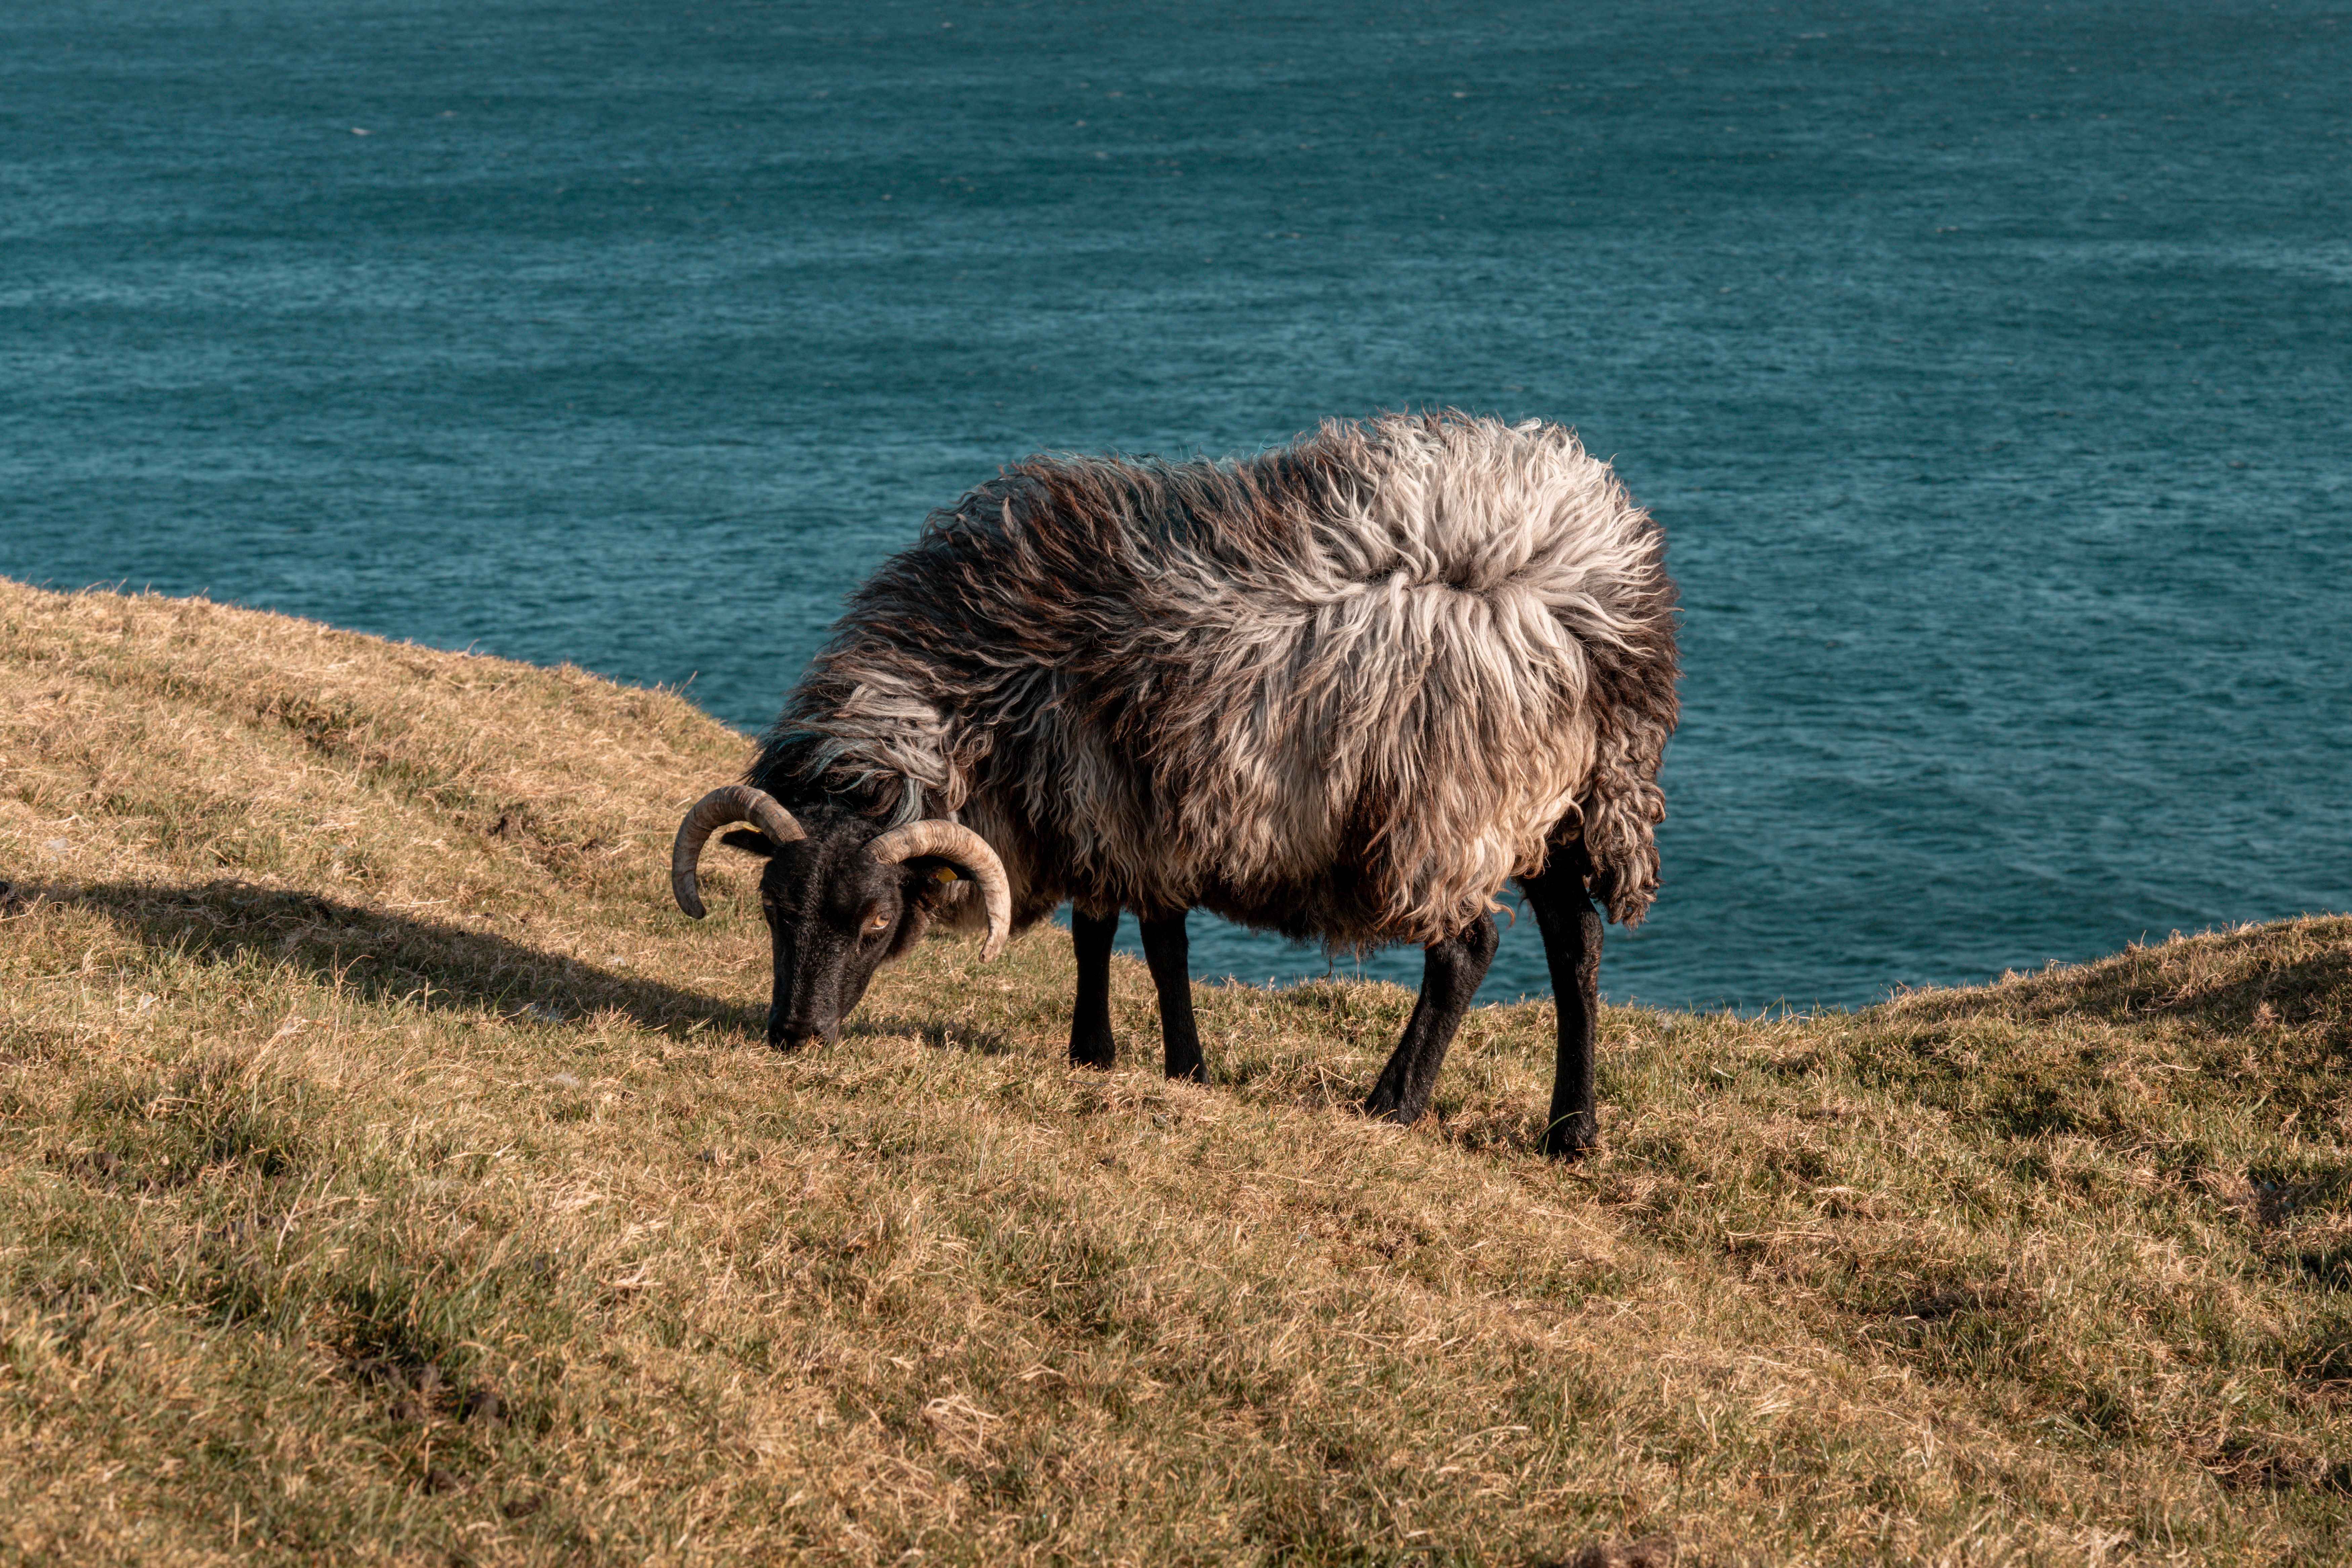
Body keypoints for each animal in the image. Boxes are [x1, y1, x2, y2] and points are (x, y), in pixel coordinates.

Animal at [670, 411, 1678, 1156]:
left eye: (877, 921)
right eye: (771, 908)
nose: (795, 1036)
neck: (966, 693)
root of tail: (1606, 599)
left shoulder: (1111, 802)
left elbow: (1138, 940)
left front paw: (1143, 1059)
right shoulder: (1125, 812)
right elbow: (1122, 936)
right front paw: (1122, 1057)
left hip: (1449, 803)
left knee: (1466, 950)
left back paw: (1393, 1103)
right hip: (1555, 806)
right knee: (1577, 944)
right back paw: (1572, 1133)